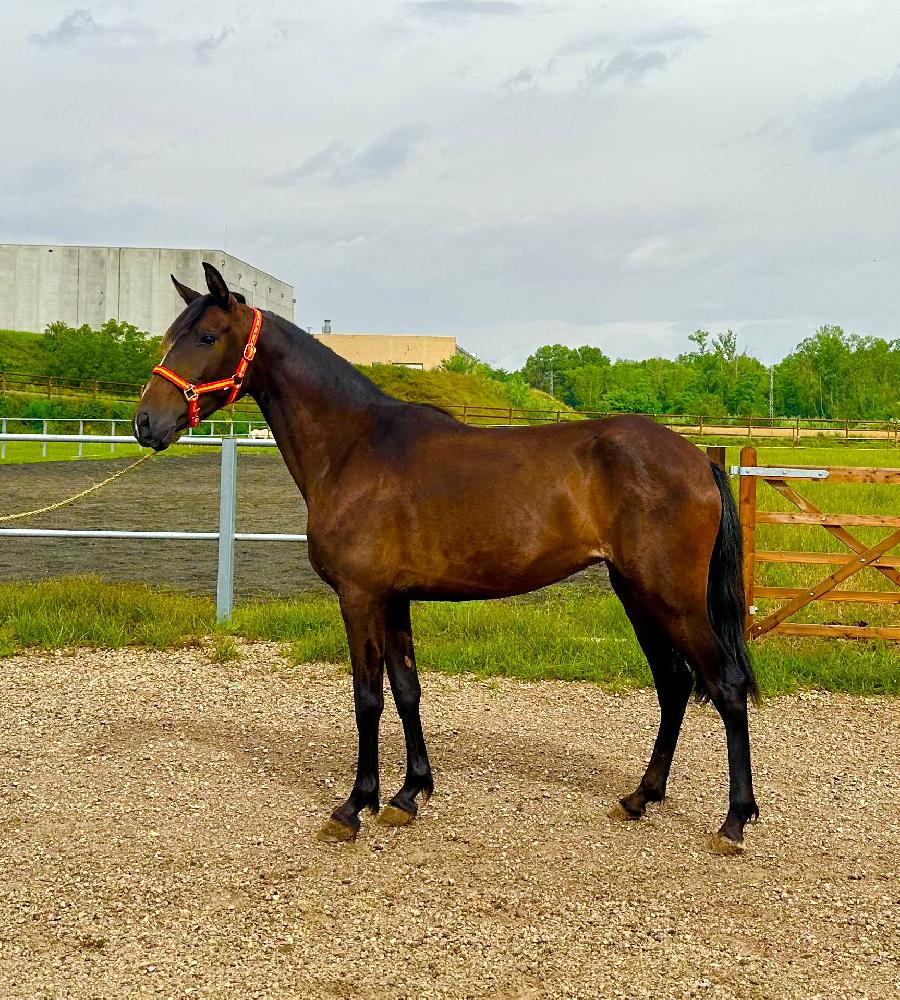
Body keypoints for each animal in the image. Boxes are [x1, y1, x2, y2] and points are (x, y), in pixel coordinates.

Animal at [135, 264, 760, 852]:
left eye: (207, 335)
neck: (353, 447)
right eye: (169, 335)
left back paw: (733, 821)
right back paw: (640, 797)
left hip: (670, 597)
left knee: (725, 686)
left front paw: (353, 807)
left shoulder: (361, 597)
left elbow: (367, 697)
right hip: (635, 592)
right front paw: (408, 795)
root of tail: (699, 458)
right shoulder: (393, 600)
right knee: (674, 686)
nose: (146, 422)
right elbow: (406, 689)